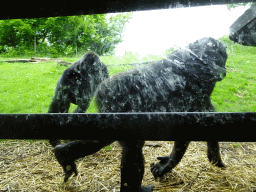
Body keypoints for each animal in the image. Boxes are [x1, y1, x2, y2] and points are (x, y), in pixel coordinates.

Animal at [53, 36, 227, 191]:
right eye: (221, 58)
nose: (224, 70)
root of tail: (101, 89)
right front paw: (169, 163)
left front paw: (214, 156)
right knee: (127, 146)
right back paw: (64, 154)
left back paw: (64, 153)